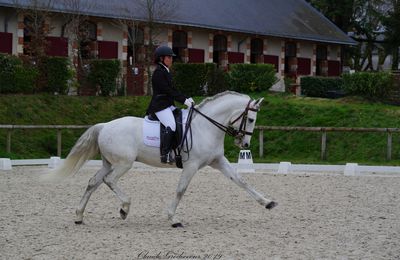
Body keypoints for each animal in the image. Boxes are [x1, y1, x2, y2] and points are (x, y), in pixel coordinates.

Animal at [42, 91, 276, 228]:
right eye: (251, 119)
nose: (244, 145)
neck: (206, 126)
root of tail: (104, 126)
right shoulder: (191, 166)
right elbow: (181, 189)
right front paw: (173, 218)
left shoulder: (217, 161)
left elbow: (241, 181)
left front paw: (267, 202)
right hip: (123, 164)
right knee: (109, 181)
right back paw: (124, 208)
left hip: (109, 163)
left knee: (93, 182)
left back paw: (79, 216)